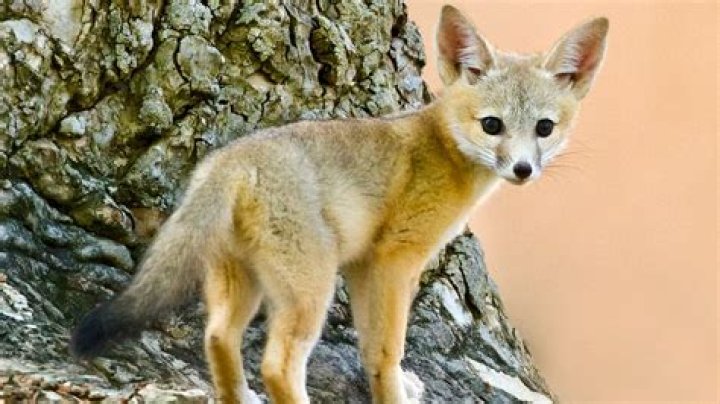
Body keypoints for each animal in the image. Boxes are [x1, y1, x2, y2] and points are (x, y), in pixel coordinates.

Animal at [70, 5, 608, 404]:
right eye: (492, 125)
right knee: (277, 365)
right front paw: (394, 393)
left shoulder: (366, 266)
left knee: (218, 337)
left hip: (243, 282)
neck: (440, 150)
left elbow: (372, 347)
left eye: (544, 128)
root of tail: (234, 161)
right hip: (312, 289)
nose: (523, 169)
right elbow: (386, 350)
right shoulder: (393, 261)